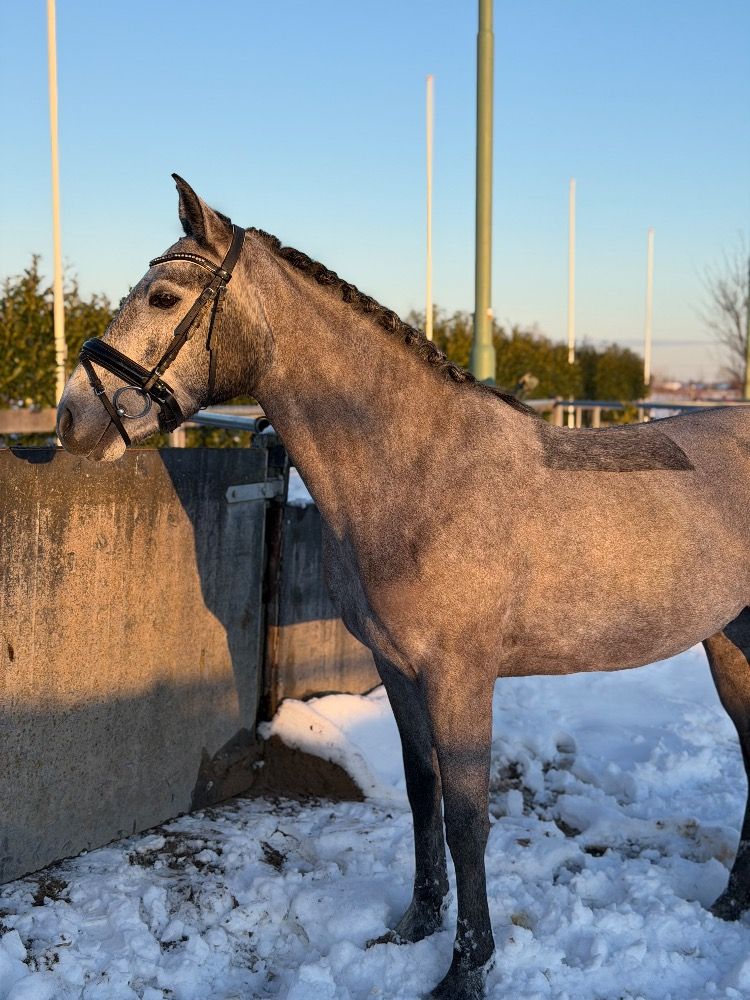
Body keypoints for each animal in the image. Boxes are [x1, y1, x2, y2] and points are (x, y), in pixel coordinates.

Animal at [57, 176, 750, 999]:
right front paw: (417, 924)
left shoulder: (460, 677)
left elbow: (467, 818)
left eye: (163, 296)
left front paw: (467, 968)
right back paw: (732, 904)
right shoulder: (397, 667)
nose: (72, 417)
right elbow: (423, 794)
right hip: (731, 641)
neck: (420, 473)